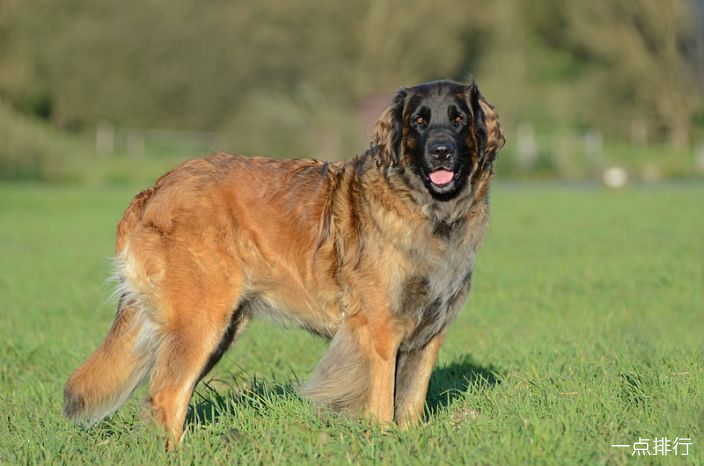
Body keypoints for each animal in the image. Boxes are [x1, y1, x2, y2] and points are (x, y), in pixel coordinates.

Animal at [64, 79, 506, 444]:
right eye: (419, 121)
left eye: (459, 119)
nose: (441, 151)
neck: (429, 212)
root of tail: (153, 191)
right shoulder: (379, 331)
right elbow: (383, 403)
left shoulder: (429, 335)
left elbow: (410, 404)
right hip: (200, 323)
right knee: (166, 395)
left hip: (217, 330)